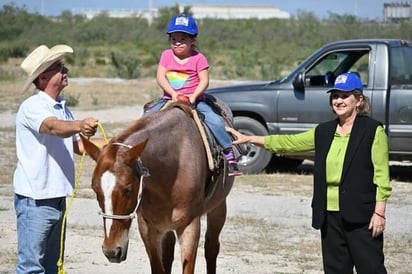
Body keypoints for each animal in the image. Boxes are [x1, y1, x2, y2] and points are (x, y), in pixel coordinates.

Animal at [81, 101, 235, 272]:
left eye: (128, 189)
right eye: (95, 190)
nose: (112, 251)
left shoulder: (190, 227)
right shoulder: (148, 229)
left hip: (218, 208)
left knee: (211, 247)